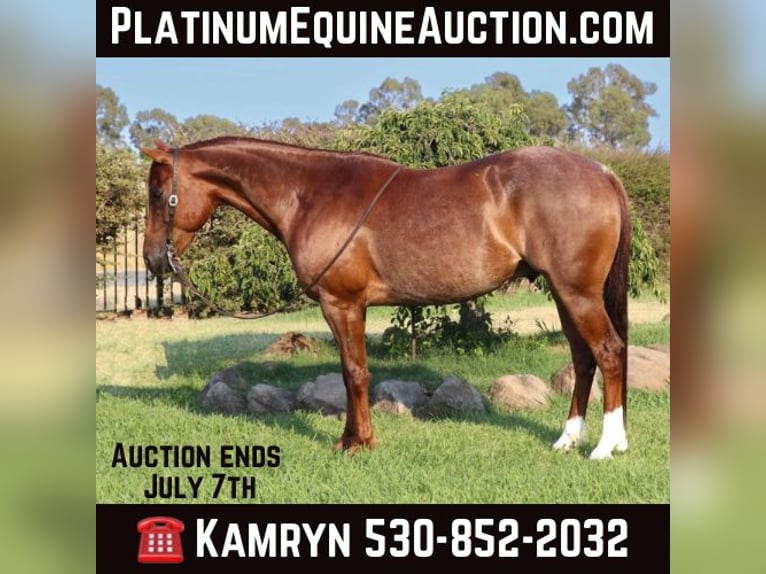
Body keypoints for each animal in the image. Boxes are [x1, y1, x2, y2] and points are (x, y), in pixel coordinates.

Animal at [141, 136, 631, 460]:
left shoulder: (342, 304)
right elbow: (350, 373)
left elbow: (354, 373)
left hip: (577, 293)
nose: (152, 260)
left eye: (156, 193)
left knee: (608, 352)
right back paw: (569, 439)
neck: (311, 195)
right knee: (584, 359)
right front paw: (349, 438)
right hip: (566, 295)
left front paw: (358, 443)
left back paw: (607, 445)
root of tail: (603, 172)